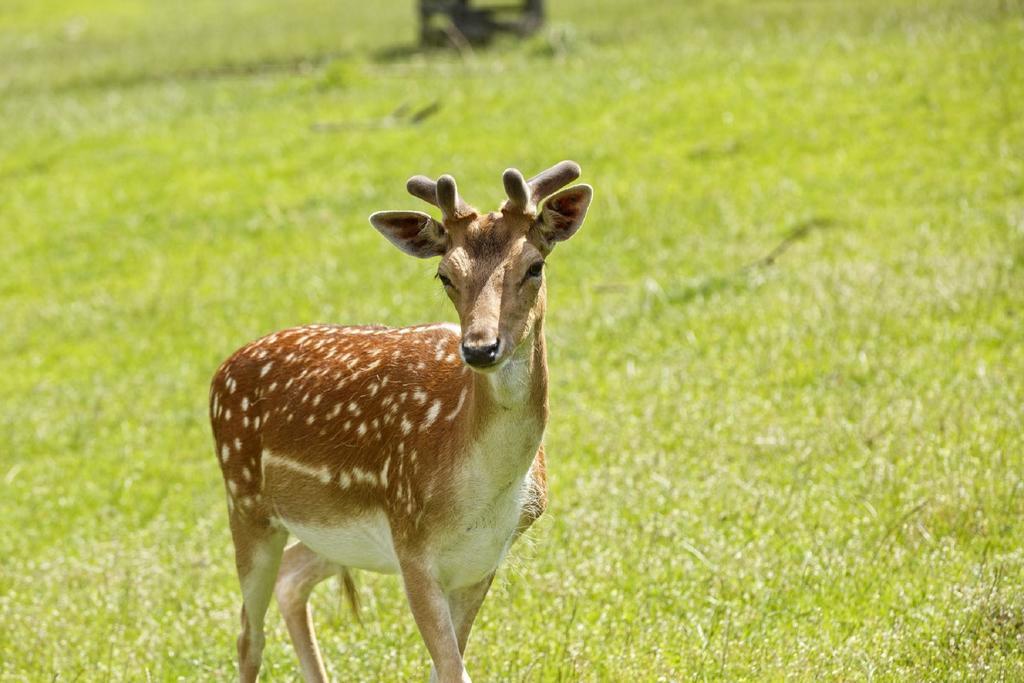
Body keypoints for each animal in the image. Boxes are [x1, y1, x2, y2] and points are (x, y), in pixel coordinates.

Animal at [207, 161, 593, 683]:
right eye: (444, 273)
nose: (479, 348)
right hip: (245, 500)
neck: (481, 495)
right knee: (249, 634)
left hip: (332, 534)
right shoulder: (412, 544)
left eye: (535, 265)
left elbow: (445, 669)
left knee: (290, 579)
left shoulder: (483, 560)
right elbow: (453, 671)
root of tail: (221, 371)